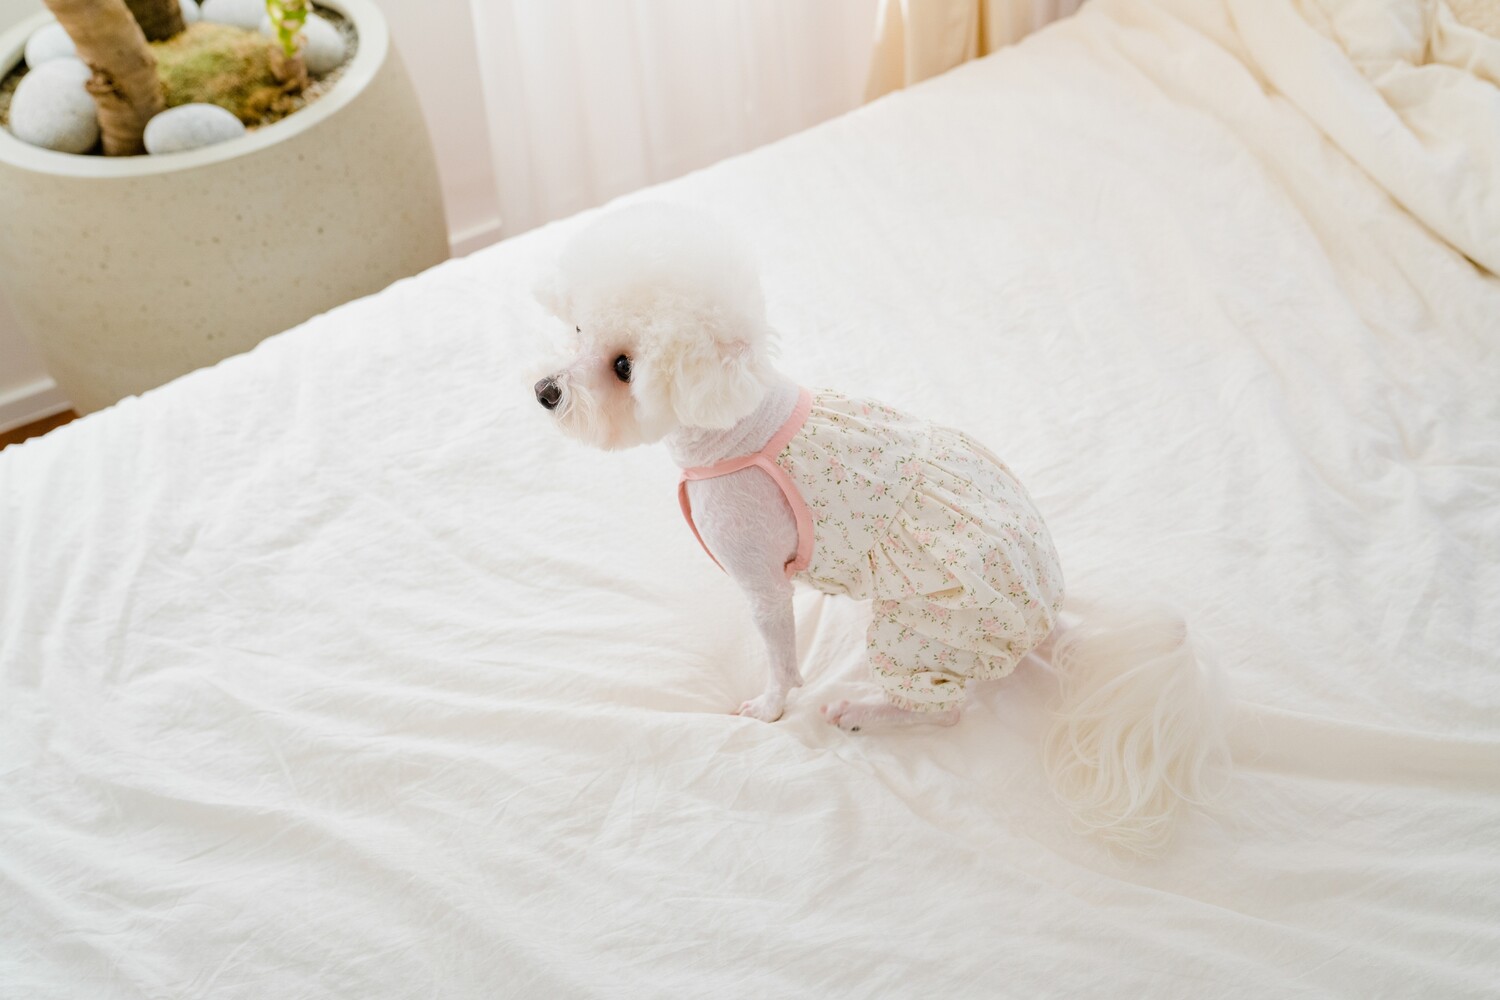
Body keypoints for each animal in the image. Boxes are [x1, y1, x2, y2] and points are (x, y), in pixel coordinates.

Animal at [532, 203, 1227, 852]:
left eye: (624, 367)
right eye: (578, 329)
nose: (545, 391)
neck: (733, 423)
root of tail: (1046, 620)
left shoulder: (761, 583)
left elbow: (780, 658)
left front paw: (771, 707)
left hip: (917, 631)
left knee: (944, 711)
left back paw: (862, 711)